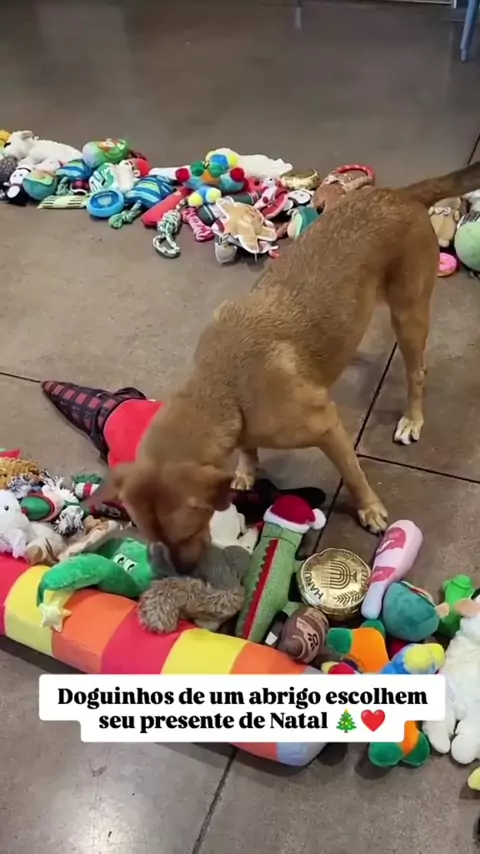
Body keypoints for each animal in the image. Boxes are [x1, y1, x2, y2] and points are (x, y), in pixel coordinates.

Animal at [92, 161, 480, 572]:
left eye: (187, 530)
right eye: (151, 534)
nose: (182, 573)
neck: (224, 388)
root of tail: (402, 195)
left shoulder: (326, 427)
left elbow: (352, 473)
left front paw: (369, 508)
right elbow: (248, 449)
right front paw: (246, 470)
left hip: (408, 316)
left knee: (416, 374)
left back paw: (412, 419)